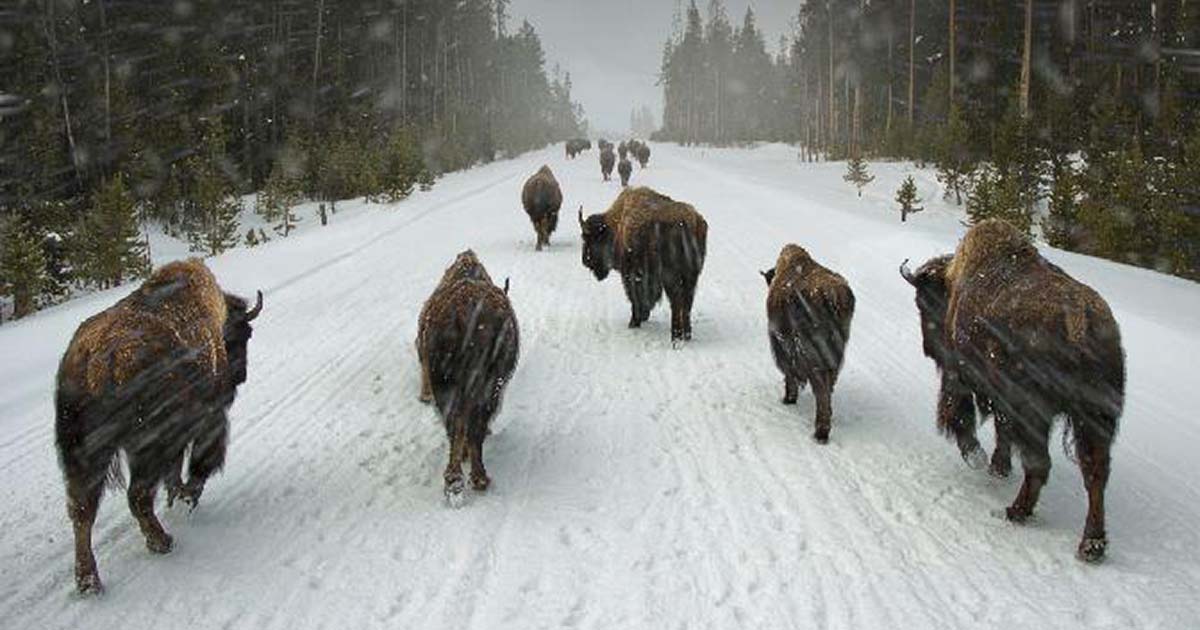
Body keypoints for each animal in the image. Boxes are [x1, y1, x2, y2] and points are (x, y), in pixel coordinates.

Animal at [55, 259, 262, 593]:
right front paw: (187, 496)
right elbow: (199, 462)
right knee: (136, 495)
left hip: (83, 454)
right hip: (144, 448)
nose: (240, 375)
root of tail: (97, 362)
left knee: (81, 510)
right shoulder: (208, 419)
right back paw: (162, 541)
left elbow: (175, 469)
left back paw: (88, 581)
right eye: (244, 334)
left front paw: (177, 496)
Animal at [416, 251, 519, 505]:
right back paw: (478, 477)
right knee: (473, 427)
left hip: (445, 383)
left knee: (455, 426)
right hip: (486, 386)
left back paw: (454, 481)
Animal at [579, 187, 707, 341]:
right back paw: (686, 335)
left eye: (589, 238)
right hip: (692, 276)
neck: (616, 226)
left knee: (676, 301)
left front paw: (634, 322)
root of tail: (687, 221)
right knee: (687, 302)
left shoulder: (631, 275)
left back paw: (675, 335)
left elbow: (635, 297)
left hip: (671, 277)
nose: (585, 260)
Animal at [762, 245, 855, 444]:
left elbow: (789, 376)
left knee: (821, 392)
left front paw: (788, 399)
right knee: (828, 389)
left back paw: (820, 433)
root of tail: (832, 297)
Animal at [901, 219, 1125, 562]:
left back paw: (1017, 511)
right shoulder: (1001, 401)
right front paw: (998, 466)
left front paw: (979, 458)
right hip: (1095, 419)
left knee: (1040, 463)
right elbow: (1000, 430)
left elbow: (962, 415)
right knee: (1095, 474)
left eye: (922, 302)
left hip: (1038, 414)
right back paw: (1092, 544)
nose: (929, 350)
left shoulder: (961, 376)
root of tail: (1079, 325)